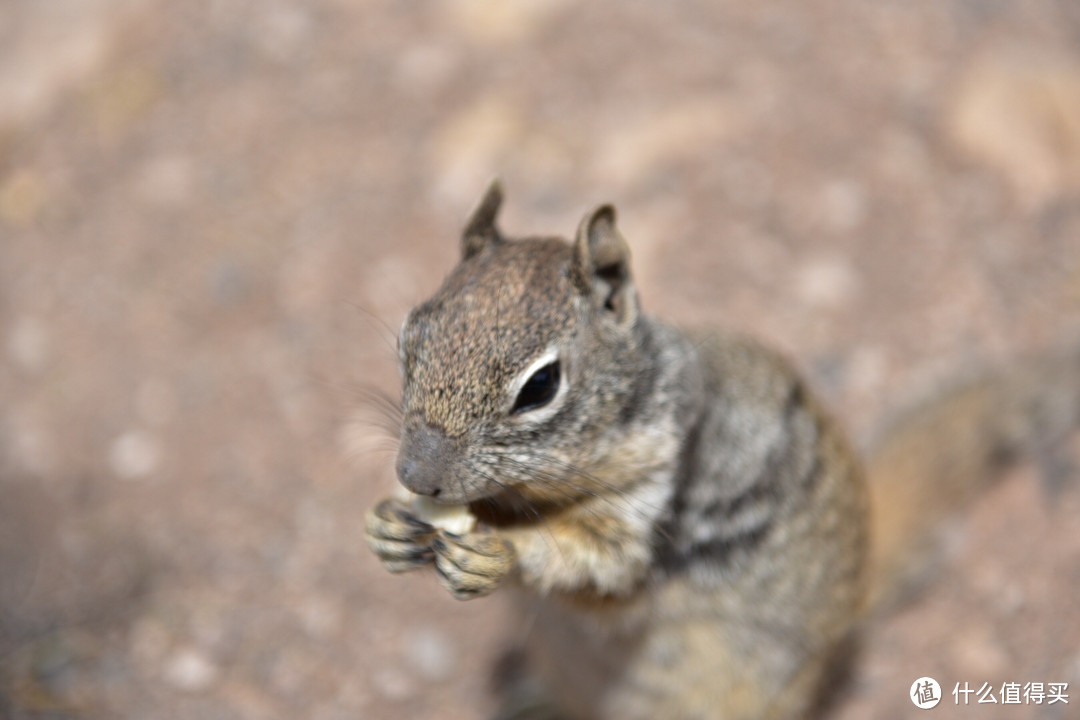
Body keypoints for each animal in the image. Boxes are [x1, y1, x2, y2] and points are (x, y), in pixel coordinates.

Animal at [365, 183, 1080, 720]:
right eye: (409, 336)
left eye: (540, 386)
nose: (418, 475)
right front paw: (388, 527)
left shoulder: (650, 499)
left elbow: (598, 567)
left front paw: (497, 554)